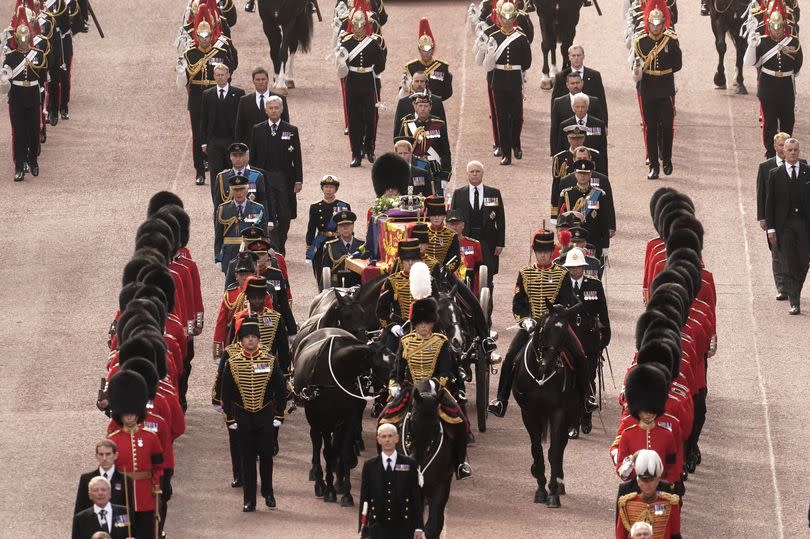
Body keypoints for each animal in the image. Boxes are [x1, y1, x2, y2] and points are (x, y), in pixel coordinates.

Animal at [292, 326, 390, 508]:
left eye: (395, 357)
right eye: (380, 363)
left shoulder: (348, 418)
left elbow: (342, 451)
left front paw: (345, 491)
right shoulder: (324, 419)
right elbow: (328, 452)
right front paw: (329, 489)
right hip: (315, 419)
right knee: (316, 442)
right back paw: (319, 480)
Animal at [512, 302, 580, 508]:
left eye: (566, 333)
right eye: (545, 329)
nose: (548, 365)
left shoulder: (559, 412)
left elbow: (554, 451)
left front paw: (553, 492)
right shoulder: (528, 412)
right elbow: (536, 449)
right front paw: (541, 488)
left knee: (562, 444)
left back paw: (560, 482)